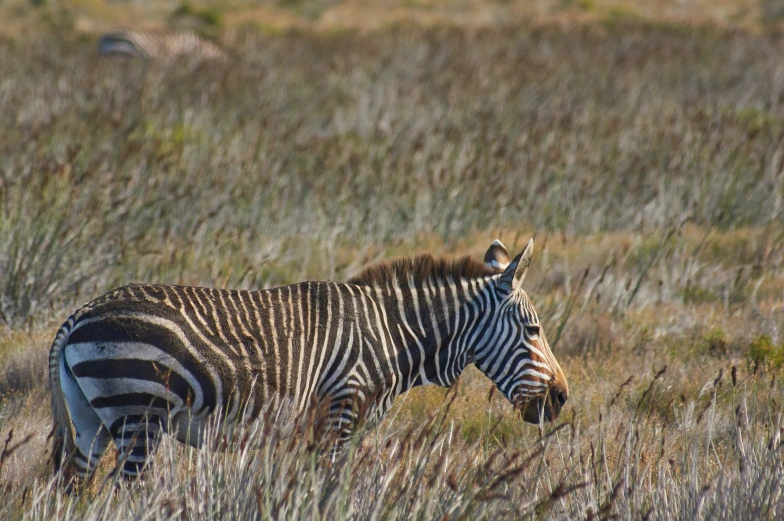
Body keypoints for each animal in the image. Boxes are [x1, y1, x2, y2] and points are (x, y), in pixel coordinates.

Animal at [49, 239, 568, 480]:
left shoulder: (320, 431)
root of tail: (81, 313)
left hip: (91, 420)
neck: (391, 333)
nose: (562, 399)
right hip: (139, 416)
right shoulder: (341, 414)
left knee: (75, 487)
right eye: (534, 330)